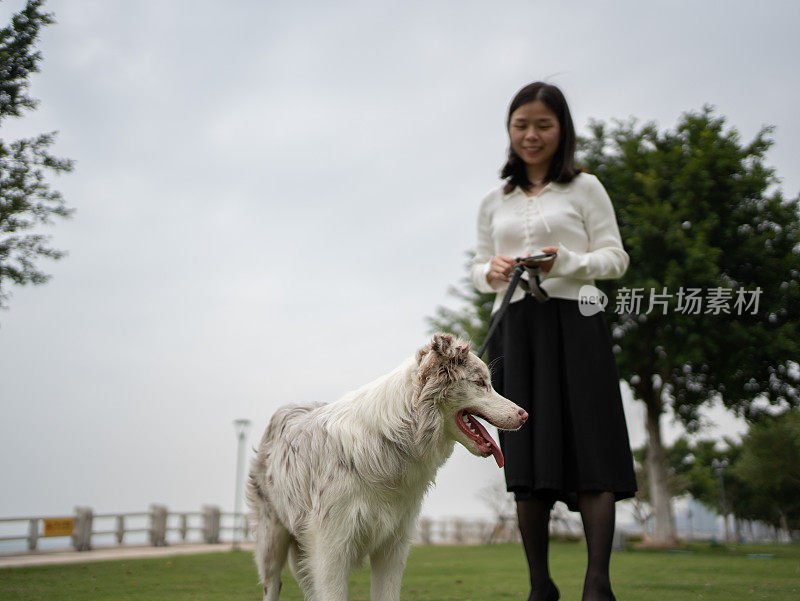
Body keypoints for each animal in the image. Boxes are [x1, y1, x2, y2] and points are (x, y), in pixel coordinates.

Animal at [247, 332, 528, 600]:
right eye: (480, 383)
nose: (524, 415)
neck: (395, 437)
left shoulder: (393, 547)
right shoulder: (331, 550)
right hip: (271, 542)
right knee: (272, 584)